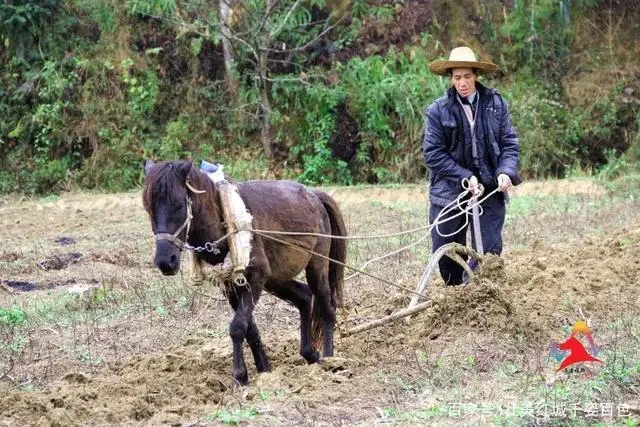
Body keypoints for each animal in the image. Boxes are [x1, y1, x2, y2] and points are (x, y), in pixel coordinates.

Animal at [142, 160, 348, 384]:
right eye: (148, 208)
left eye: (179, 205)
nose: (165, 262)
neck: (223, 221)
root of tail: (314, 195)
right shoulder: (231, 285)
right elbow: (250, 328)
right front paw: (264, 369)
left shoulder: (255, 279)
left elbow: (238, 326)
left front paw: (240, 376)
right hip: (276, 279)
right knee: (304, 296)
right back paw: (309, 354)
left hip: (317, 265)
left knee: (327, 308)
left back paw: (329, 359)